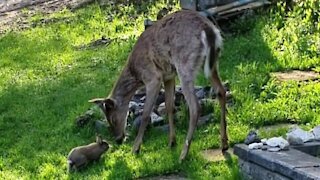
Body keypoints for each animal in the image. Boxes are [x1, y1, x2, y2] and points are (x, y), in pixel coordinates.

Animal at [89, 9, 228, 162]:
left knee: (195, 107)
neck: (135, 73)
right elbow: (169, 107)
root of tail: (209, 30)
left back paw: (183, 154)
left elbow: (145, 114)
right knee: (221, 91)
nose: (119, 139)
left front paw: (136, 148)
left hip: (185, 65)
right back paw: (224, 143)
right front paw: (172, 142)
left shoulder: (153, 78)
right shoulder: (168, 76)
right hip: (211, 64)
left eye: (113, 119)